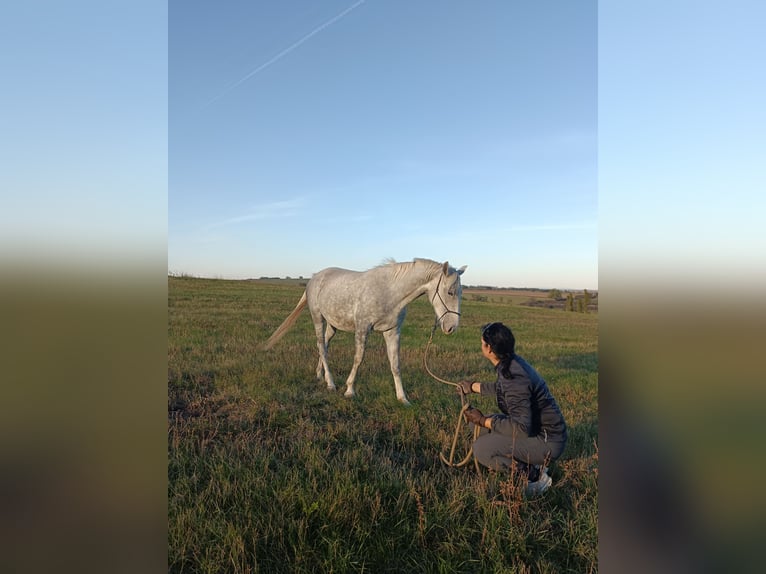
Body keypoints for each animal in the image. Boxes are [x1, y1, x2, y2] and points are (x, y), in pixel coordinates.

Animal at [264, 258, 468, 408]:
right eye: (450, 292)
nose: (451, 327)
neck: (389, 293)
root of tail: (315, 277)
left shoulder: (392, 332)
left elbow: (395, 364)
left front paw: (403, 398)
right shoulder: (362, 329)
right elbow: (358, 359)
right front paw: (349, 390)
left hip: (332, 324)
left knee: (325, 346)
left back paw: (320, 374)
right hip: (317, 318)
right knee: (321, 347)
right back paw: (331, 383)